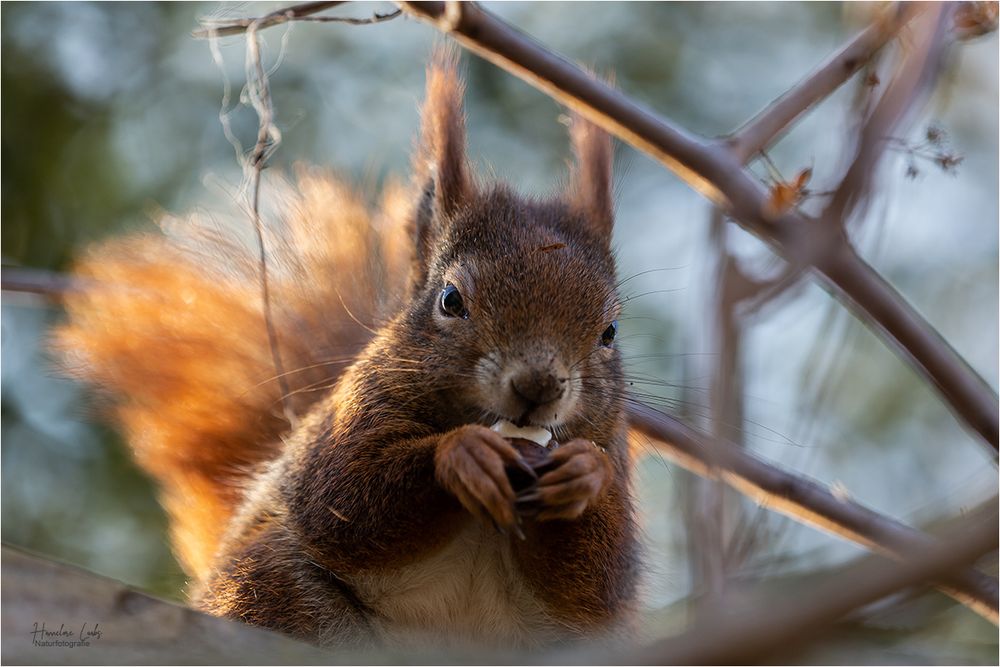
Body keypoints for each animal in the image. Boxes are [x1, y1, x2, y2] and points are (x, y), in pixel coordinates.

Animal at [54, 51, 636, 652]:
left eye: (610, 331)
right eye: (451, 300)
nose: (538, 386)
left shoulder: (613, 462)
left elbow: (596, 580)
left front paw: (584, 476)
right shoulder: (350, 416)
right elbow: (346, 498)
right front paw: (461, 455)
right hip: (270, 583)